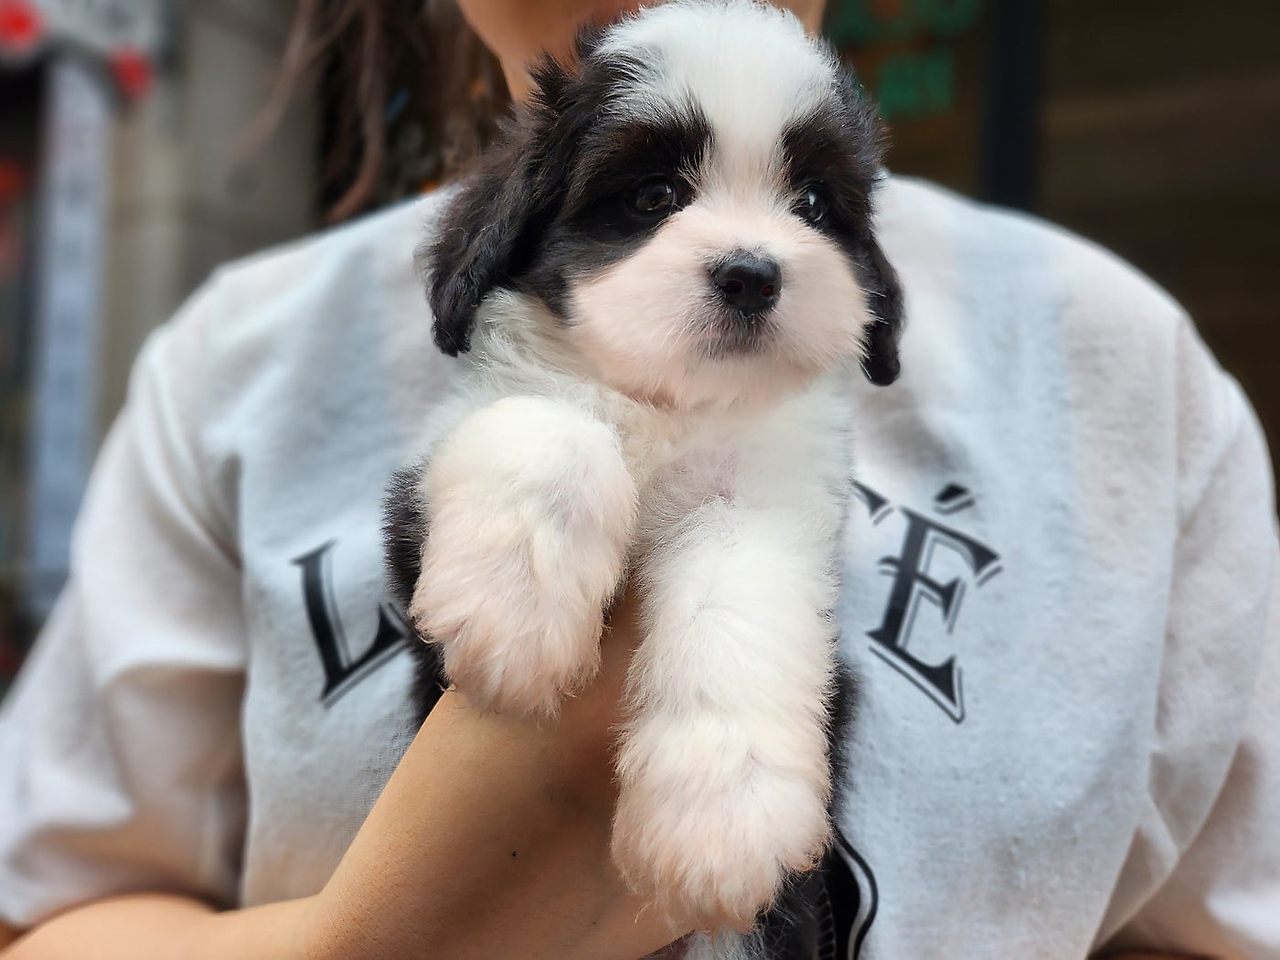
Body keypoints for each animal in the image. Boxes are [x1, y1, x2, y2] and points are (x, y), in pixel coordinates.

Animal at [383, 1, 903, 954]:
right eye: (653, 196)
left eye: (813, 204)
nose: (751, 274)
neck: (668, 403)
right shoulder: (416, 505)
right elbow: (554, 428)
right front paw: (516, 619)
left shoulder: (770, 503)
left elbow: (736, 593)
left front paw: (722, 815)